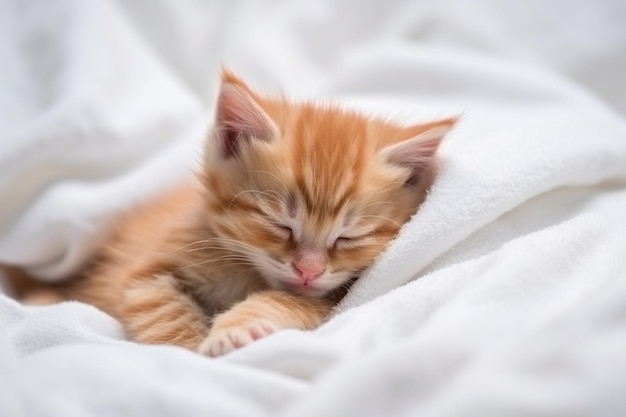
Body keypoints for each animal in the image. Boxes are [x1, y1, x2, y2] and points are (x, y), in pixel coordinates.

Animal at [4, 70, 454, 354]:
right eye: (279, 224)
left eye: (349, 237)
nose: (308, 271)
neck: (246, 269)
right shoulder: (143, 273)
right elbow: (162, 311)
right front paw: (190, 350)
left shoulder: (334, 298)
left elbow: (286, 301)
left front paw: (237, 329)